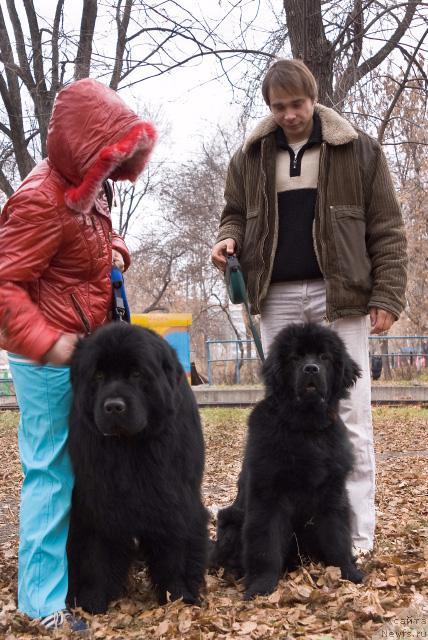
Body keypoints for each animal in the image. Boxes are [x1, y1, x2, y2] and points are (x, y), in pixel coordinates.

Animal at [65, 324, 209, 616]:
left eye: (136, 373)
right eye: (98, 375)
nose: (113, 406)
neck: (130, 447)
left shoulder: (175, 496)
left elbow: (177, 543)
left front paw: (179, 594)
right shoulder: (96, 499)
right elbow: (94, 550)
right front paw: (92, 600)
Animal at [211, 324, 364, 600]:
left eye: (324, 357)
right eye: (295, 358)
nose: (311, 369)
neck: (305, 427)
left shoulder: (333, 493)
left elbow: (338, 535)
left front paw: (347, 571)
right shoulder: (268, 496)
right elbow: (266, 544)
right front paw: (261, 585)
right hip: (230, 520)